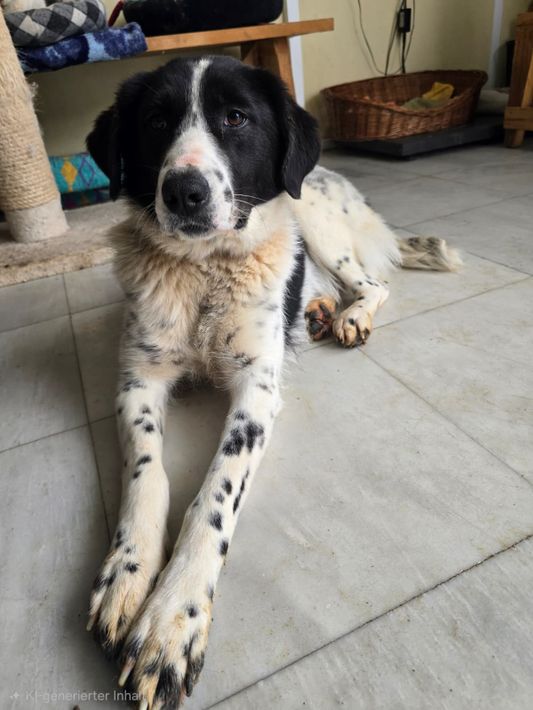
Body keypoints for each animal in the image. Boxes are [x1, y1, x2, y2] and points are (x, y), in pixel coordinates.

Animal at [86, 55, 461, 709]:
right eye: (156, 120)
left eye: (236, 117)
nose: (183, 191)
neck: (206, 271)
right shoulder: (137, 382)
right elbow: (147, 475)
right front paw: (127, 572)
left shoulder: (256, 396)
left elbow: (212, 496)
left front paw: (171, 619)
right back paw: (317, 311)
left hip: (317, 223)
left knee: (373, 283)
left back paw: (349, 314)